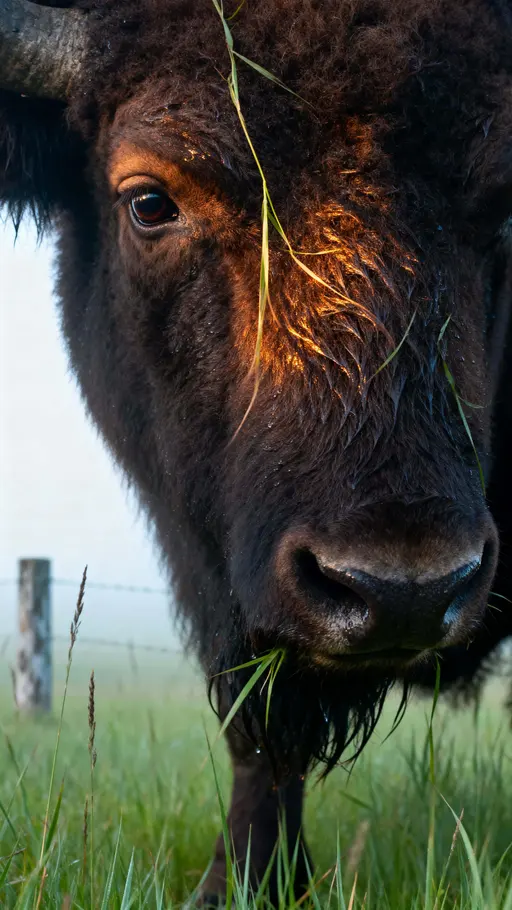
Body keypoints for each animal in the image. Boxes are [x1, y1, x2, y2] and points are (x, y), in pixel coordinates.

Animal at [1, 0, 512, 901]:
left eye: (507, 204)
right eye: (149, 201)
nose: (404, 589)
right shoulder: (210, 568)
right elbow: (257, 723)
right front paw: (242, 884)